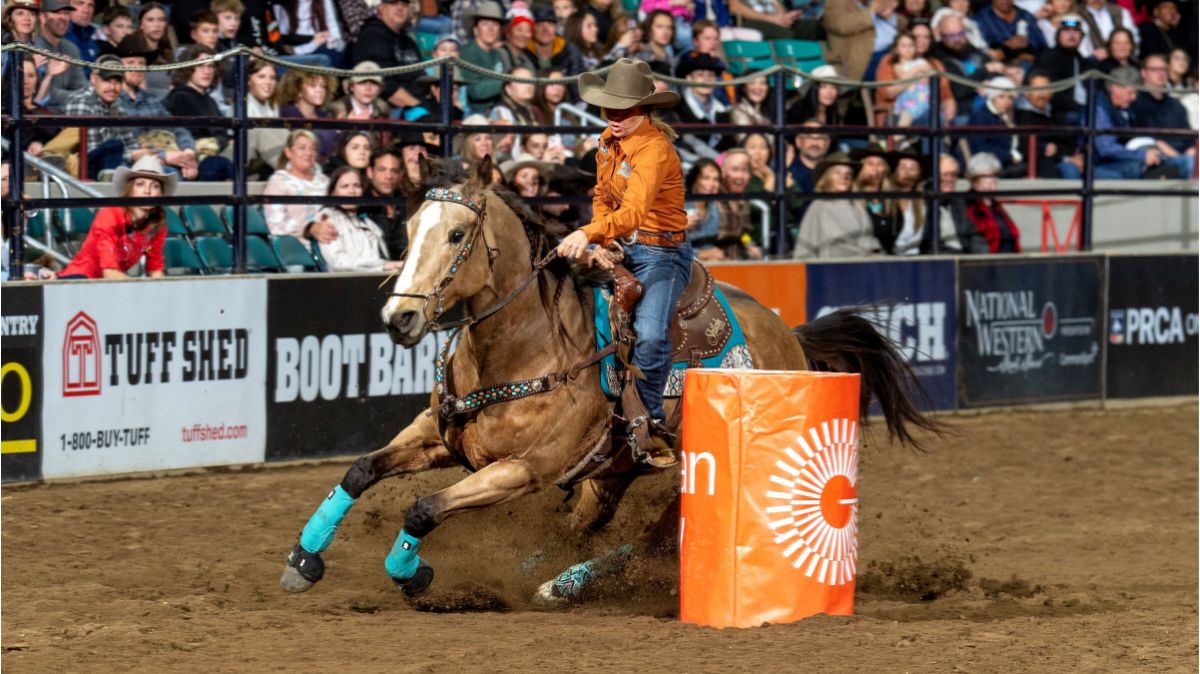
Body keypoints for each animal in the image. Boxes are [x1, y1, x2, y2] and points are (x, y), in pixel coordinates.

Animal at [278, 155, 936, 592]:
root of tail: (790, 337)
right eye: (411, 231)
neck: (525, 350)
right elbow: (361, 470)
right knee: (589, 522)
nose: (400, 318)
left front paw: (411, 573)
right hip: (611, 472)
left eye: (458, 234)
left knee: (656, 538)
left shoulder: (522, 471)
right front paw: (304, 561)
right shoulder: (436, 436)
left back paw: (560, 584)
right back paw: (543, 570)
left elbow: (423, 508)